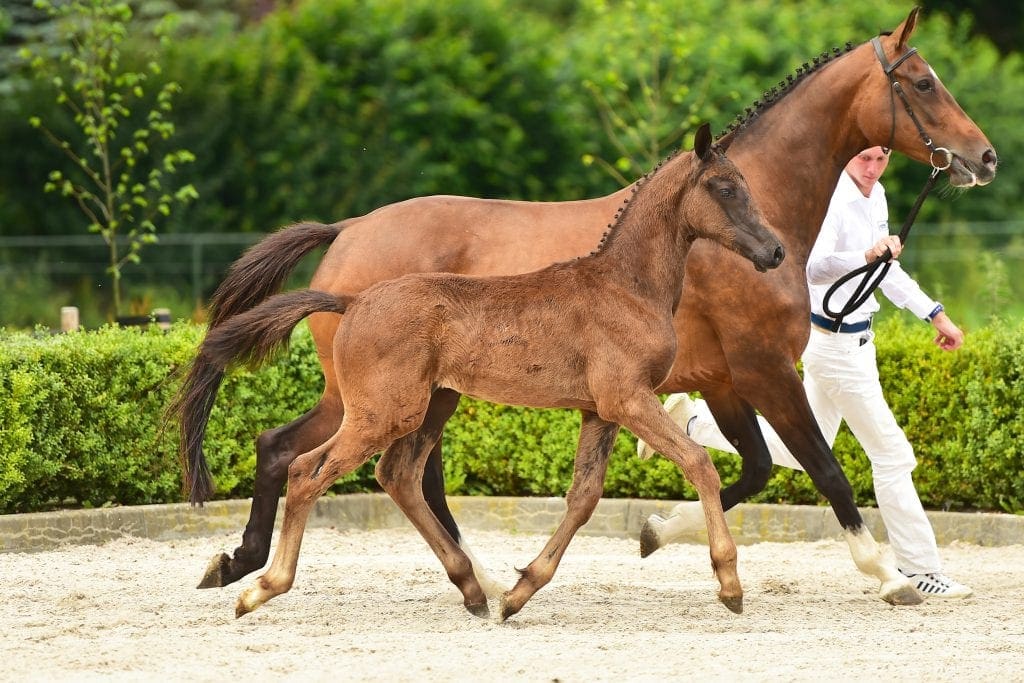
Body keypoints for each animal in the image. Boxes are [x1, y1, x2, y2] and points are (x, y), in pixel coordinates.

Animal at [188, 124, 785, 618]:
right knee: (307, 470)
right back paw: (260, 588)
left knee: (396, 475)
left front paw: (520, 593)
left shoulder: (600, 411)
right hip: (382, 413)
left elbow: (583, 498)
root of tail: (351, 300)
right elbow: (700, 463)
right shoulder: (629, 400)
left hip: (431, 404)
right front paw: (729, 584)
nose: (775, 251)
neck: (625, 287)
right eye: (725, 188)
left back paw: (473, 589)